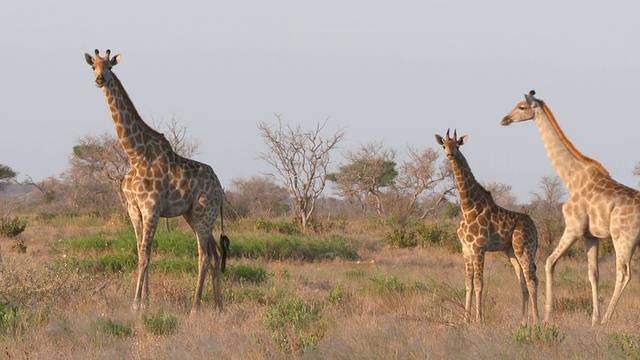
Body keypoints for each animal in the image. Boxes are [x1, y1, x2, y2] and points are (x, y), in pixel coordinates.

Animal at [85, 49, 229, 314]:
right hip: (194, 216)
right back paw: (218, 306)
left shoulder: (151, 208)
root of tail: (220, 189)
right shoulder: (134, 209)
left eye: (110, 67)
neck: (135, 154)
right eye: (93, 67)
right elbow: (141, 252)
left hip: (204, 214)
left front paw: (136, 303)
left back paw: (195, 307)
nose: (99, 79)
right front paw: (146, 301)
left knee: (203, 256)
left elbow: (145, 254)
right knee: (214, 254)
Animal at [436, 130, 540, 324]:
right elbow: (468, 284)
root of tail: (534, 228)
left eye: (458, 145)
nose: (450, 154)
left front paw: (479, 320)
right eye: (444, 145)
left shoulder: (479, 248)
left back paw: (537, 320)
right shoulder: (466, 249)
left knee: (532, 280)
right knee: (522, 282)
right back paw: (523, 321)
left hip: (524, 249)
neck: (468, 207)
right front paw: (466, 319)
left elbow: (479, 284)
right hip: (511, 251)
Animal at [502, 90, 640, 326]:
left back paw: (607, 320)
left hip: (624, 238)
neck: (571, 177)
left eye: (521, 107)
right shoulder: (591, 236)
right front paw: (593, 320)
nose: (505, 120)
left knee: (623, 273)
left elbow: (549, 263)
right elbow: (593, 274)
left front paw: (547, 316)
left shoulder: (574, 228)